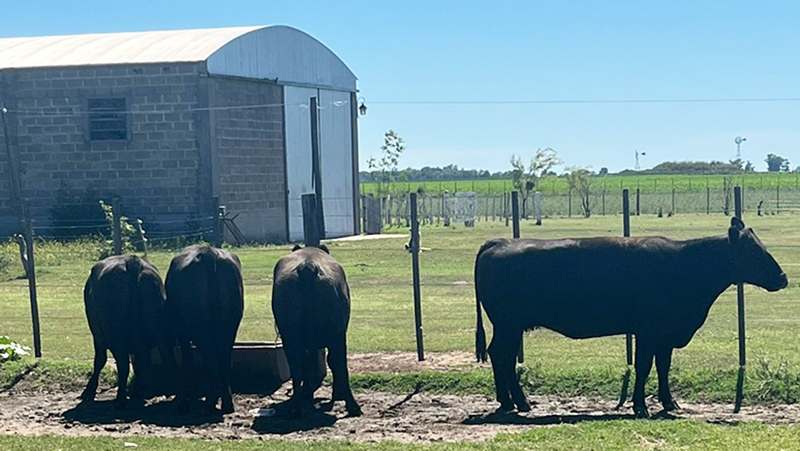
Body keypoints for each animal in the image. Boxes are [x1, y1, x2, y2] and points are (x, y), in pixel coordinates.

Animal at [81, 256, 169, 408]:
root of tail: (132, 261)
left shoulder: (98, 336)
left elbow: (100, 360)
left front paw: (89, 391)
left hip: (115, 337)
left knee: (123, 364)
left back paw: (120, 399)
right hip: (159, 331)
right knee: (157, 357)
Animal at [166, 245, 244, 414]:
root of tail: (209, 254)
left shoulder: (181, 331)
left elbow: (187, 358)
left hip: (199, 327)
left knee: (210, 360)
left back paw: (210, 402)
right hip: (229, 326)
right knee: (224, 359)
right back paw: (226, 403)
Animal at [274, 245, 364, 418]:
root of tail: (308, 266)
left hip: (291, 336)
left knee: (298, 364)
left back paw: (296, 405)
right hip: (336, 334)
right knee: (337, 362)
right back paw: (351, 404)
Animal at [476, 217, 788, 418]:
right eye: (753, 251)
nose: (783, 277)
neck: (685, 265)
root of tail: (497, 242)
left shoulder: (665, 336)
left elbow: (663, 368)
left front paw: (669, 403)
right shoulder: (648, 332)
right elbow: (644, 367)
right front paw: (640, 405)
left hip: (509, 327)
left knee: (498, 354)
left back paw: (510, 402)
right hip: (508, 325)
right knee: (502, 356)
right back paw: (519, 402)